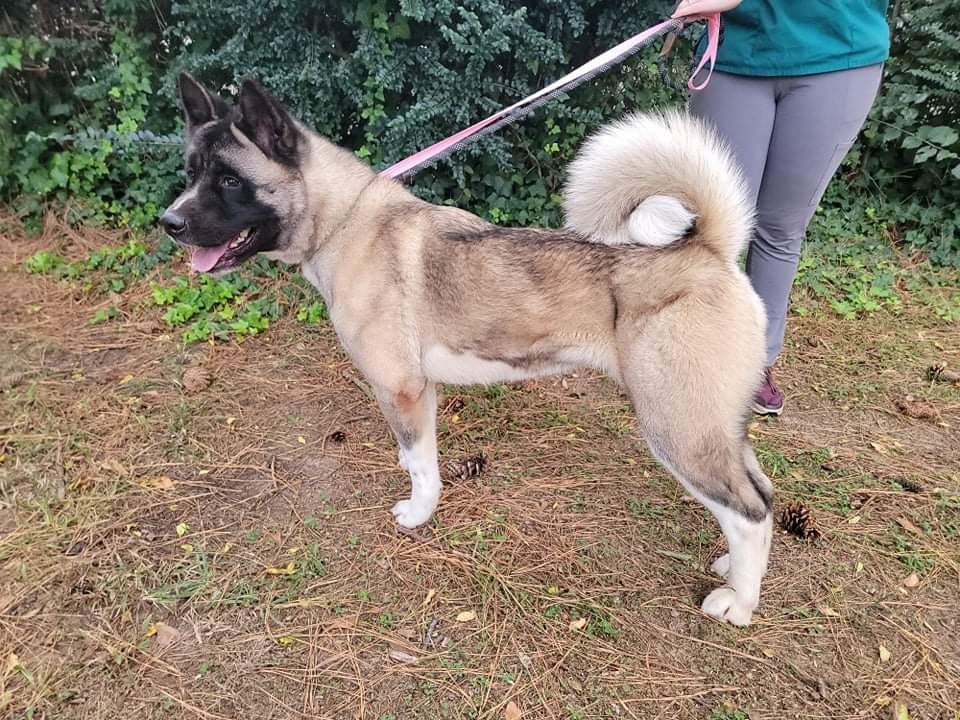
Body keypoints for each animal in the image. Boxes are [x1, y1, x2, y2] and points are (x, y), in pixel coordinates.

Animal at [158, 73, 772, 624]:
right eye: (190, 173)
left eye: (231, 182)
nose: (169, 222)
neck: (346, 224)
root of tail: (710, 251)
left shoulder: (402, 390)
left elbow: (419, 466)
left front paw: (418, 514)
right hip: (716, 428)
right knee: (761, 494)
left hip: (678, 431)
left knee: (750, 515)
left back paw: (739, 606)